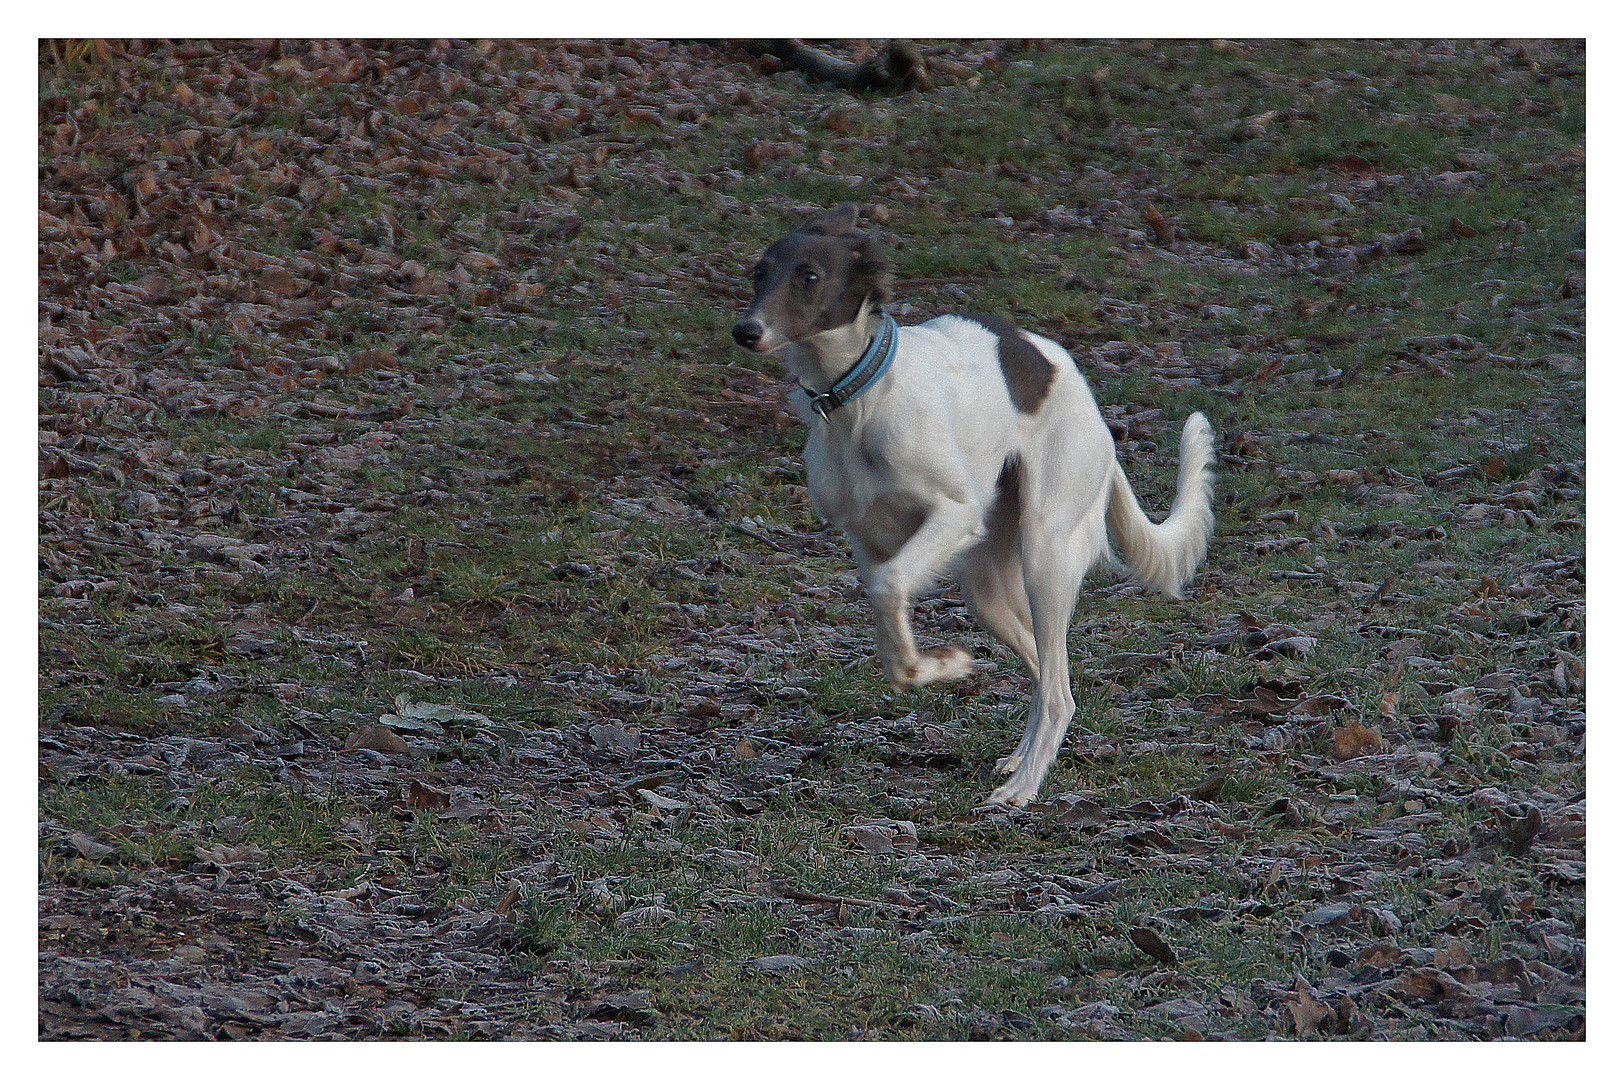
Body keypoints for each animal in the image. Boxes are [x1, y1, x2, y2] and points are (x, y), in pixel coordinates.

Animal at [730, 206, 1214, 805]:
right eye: (759, 272)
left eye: (810, 276)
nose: (746, 331)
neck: (861, 400)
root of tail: (1089, 402)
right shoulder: (865, 540)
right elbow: (888, 617)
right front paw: (936, 665)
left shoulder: (954, 514)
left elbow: (889, 586)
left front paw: (944, 662)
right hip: (986, 584)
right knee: (1048, 675)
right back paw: (1019, 760)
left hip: (1045, 553)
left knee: (1059, 691)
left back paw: (1022, 789)